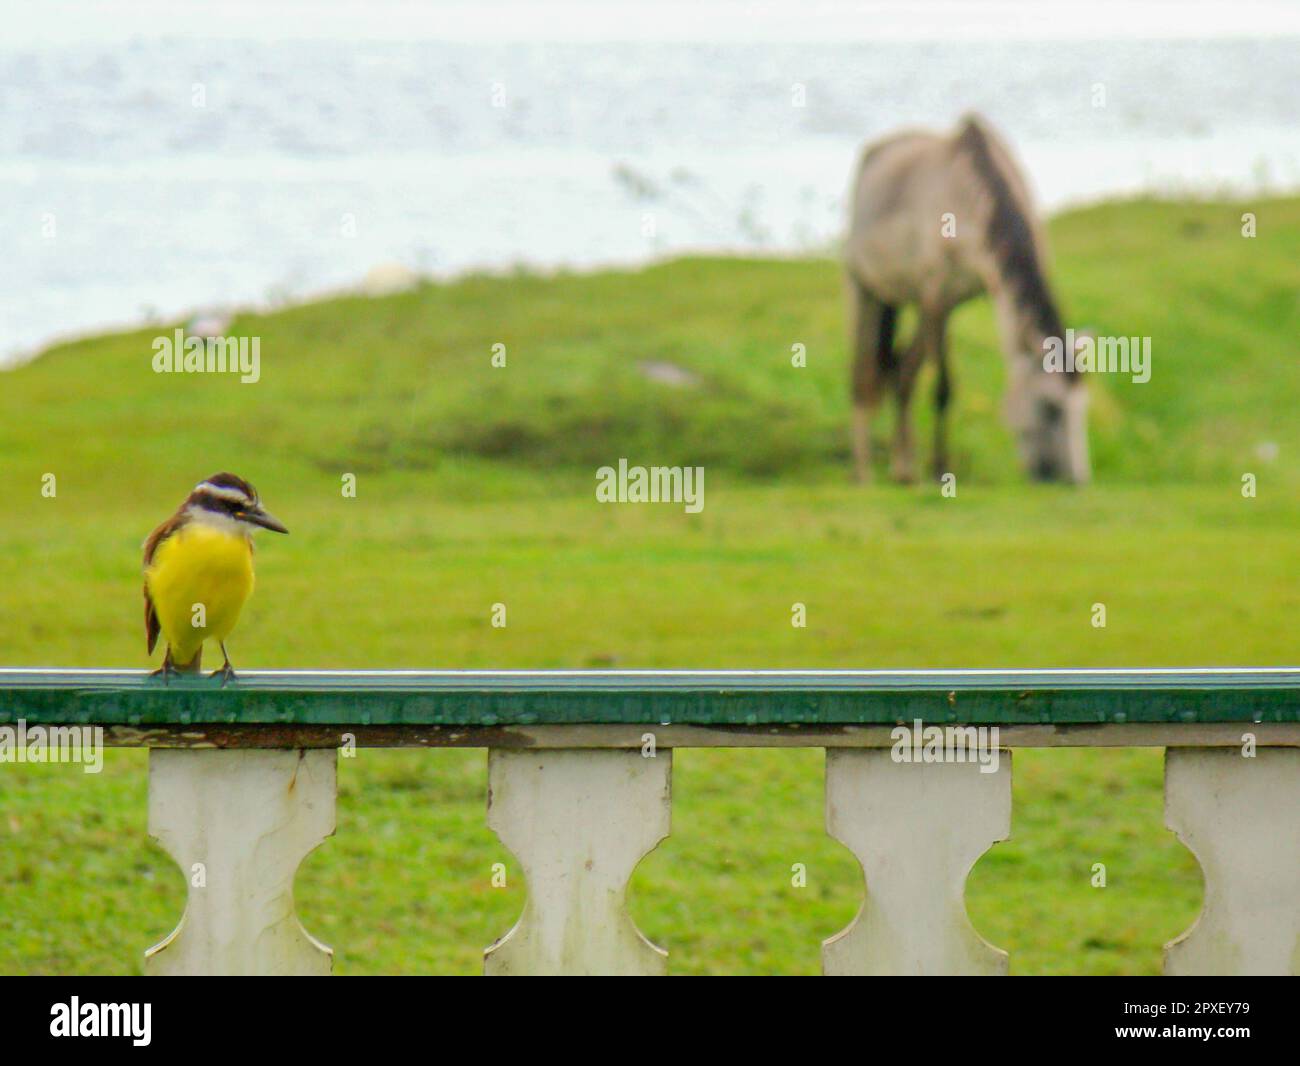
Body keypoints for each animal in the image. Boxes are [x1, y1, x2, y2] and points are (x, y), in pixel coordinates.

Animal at [843, 113, 1090, 484]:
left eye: (1082, 408)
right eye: (1050, 407)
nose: (1077, 481)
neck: (966, 197)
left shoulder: (956, 300)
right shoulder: (937, 298)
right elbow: (943, 389)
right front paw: (940, 471)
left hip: (917, 306)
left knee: (902, 371)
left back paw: (904, 469)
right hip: (866, 291)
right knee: (863, 377)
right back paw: (863, 475)